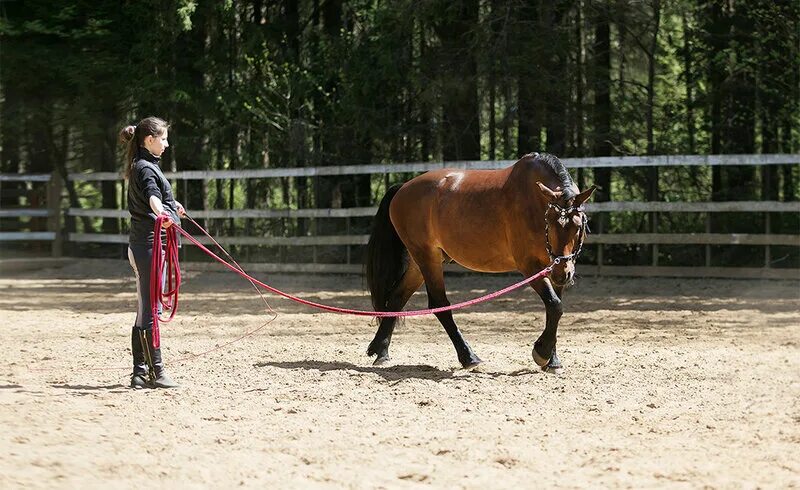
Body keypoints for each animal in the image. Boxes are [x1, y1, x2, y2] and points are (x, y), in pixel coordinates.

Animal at [362, 152, 592, 372]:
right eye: (550, 223)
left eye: (578, 226)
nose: (563, 273)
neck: (533, 202)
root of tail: (402, 188)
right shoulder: (530, 266)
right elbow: (554, 305)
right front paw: (542, 352)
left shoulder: (552, 267)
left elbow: (555, 309)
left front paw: (552, 359)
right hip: (426, 257)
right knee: (439, 303)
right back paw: (468, 357)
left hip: (421, 263)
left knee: (397, 298)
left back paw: (380, 350)